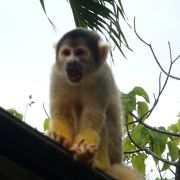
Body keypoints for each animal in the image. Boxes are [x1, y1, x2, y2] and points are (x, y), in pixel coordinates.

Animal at [48, 28, 143, 180]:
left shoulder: (102, 76)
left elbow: (93, 116)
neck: (83, 78)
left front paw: (84, 151)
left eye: (80, 53)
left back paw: (100, 164)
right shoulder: (57, 74)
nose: (71, 62)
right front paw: (59, 138)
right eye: (66, 53)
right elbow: (61, 113)